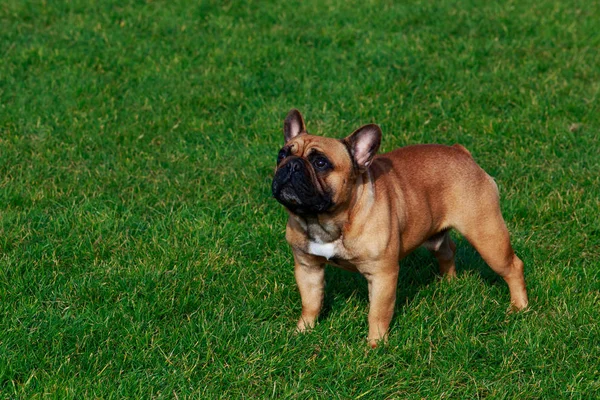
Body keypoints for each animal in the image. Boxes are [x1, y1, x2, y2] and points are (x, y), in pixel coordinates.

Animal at [270, 109, 528, 346]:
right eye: (281, 154)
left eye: (320, 163)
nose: (291, 165)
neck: (324, 220)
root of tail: (461, 153)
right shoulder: (307, 267)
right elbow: (311, 302)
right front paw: (302, 331)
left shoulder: (382, 274)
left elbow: (378, 313)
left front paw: (375, 345)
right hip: (435, 234)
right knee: (447, 250)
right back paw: (449, 283)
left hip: (487, 236)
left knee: (513, 267)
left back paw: (519, 307)